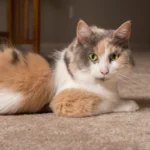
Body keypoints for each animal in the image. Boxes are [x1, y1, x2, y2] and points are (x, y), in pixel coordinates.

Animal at [0, 20, 139, 116]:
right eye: (93, 57)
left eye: (114, 56)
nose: (104, 71)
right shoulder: (63, 101)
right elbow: (107, 102)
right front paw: (130, 104)